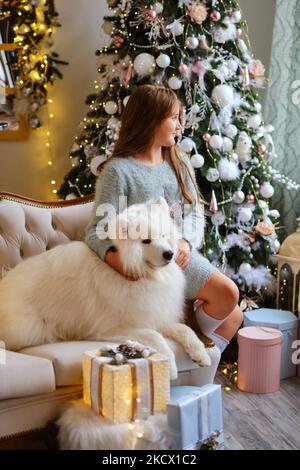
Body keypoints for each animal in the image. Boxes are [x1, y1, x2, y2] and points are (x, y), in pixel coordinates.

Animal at [0, 196, 211, 378]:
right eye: (145, 240)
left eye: (163, 235)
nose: (169, 254)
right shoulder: (112, 328)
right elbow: (155, 336)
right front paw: (170, 366)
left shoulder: (154, 314)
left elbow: (185, 329)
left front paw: (201, 353)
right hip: (30, 328)